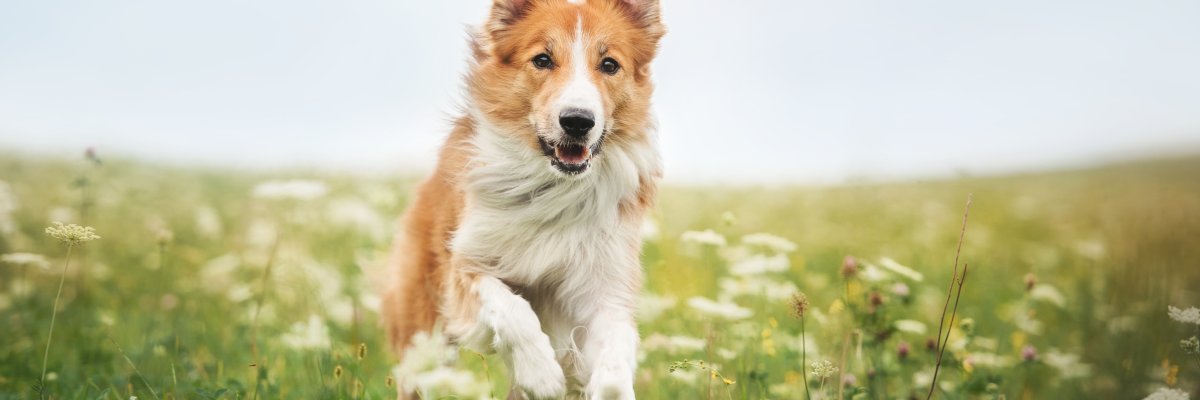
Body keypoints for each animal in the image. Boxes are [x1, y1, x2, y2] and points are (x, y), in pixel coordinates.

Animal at [379, 0, 667, 396]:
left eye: (610, 64)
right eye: (542, 59)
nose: (577, 121)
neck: (553, 188)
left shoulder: (606, 286)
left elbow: (614, 360)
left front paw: (606, 386)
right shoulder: (466, 267)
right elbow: (512, 309)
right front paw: (541, 373)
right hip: (424, 332)